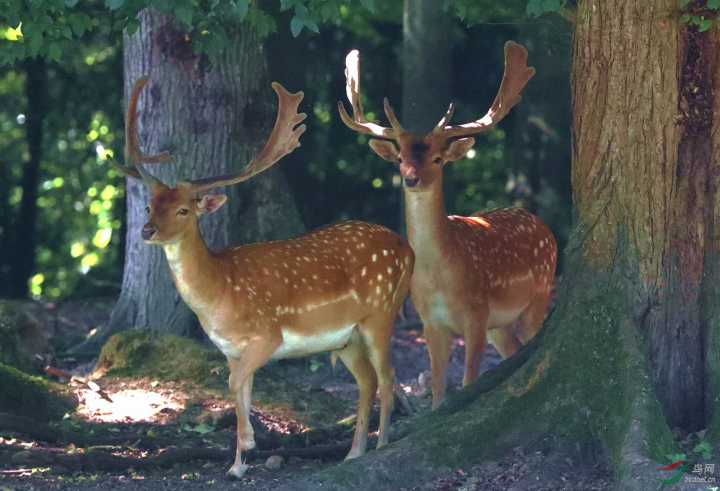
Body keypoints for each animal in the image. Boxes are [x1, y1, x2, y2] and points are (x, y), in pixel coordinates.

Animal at [109, 77, 414, 480]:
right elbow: (241, 390)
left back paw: (380, 447)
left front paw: (250, 444)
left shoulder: (269, 334)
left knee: (389, 376)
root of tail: (409, 250)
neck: (220, 291)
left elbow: (233, 384)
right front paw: (237, 466)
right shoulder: (229, 349)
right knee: (367, 381)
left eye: (184, 209)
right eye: (149, 205)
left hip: (381, 312)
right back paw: (353, 453)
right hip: (346, 339)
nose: (147, 231)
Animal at [338, 42, 556, 410]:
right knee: (513, 351)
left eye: (438, 159)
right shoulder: (430, 320)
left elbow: (468, 380)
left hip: (538, 295)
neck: (441, 278)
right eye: (400, 159)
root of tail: (543, 225)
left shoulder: (476, 313)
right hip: (500, 323)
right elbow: (438, 386)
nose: (411, 179)